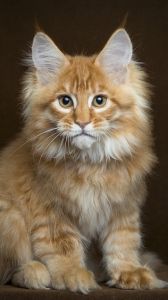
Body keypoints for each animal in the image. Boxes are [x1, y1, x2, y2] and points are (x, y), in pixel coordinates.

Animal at [0, 28, 167, 292]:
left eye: (99, 101)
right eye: (65, 101)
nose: (82, 122)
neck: (90, 162)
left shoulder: (123, 206)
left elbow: (123, 241)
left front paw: (129, 273)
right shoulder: (50, 209)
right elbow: (63, 245)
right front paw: (73, 275)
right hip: (10, 218)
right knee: (11, 268)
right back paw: (35, 273)